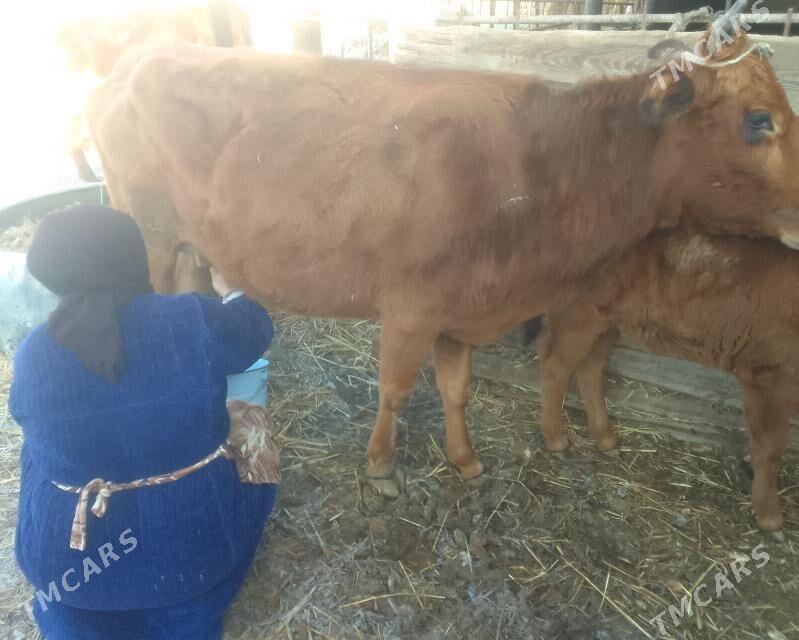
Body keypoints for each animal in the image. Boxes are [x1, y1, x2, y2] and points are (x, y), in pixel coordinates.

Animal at [87, 10, 799, 492]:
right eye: (757, 119)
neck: (532, 171)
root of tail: (132, 62)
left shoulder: (462, 309)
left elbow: (456, 389)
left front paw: (465, 459)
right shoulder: (410, 306)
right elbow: (397, 388)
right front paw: (380, 466)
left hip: (185, 244)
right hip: (146, 233)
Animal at [535, 230, 798, 531]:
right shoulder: (771, 373)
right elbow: (770, 447)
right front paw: (769, 515)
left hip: (609, 319)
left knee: (590, 365)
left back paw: (605, 438)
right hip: (579, 312)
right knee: (555, 363)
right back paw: (557, 439)